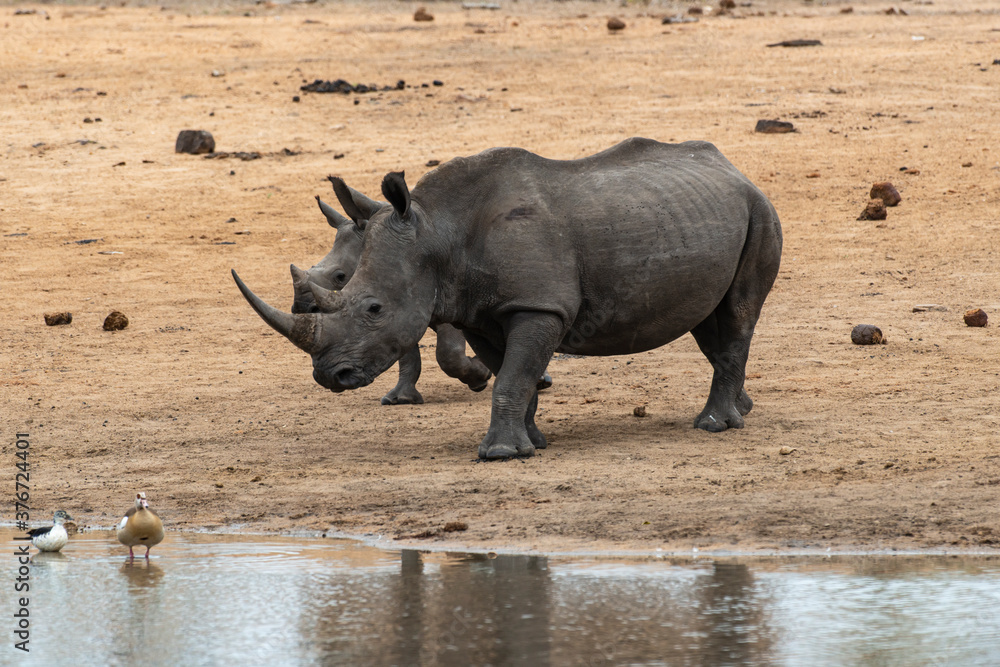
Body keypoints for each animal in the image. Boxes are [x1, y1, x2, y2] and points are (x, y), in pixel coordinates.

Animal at [233, 138, 782, 459]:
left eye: (373, 309)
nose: (331, 376)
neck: (439, 231)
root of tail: (736, 170)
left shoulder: (537, 305)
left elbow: (515, 374)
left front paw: (500, 455)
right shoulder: (482, 310)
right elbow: (511, 374)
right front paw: (531, 442)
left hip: (759, 211)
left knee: (737, 314)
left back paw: (714, 427)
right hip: (699, 214)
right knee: (708, 322)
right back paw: (743, 408)